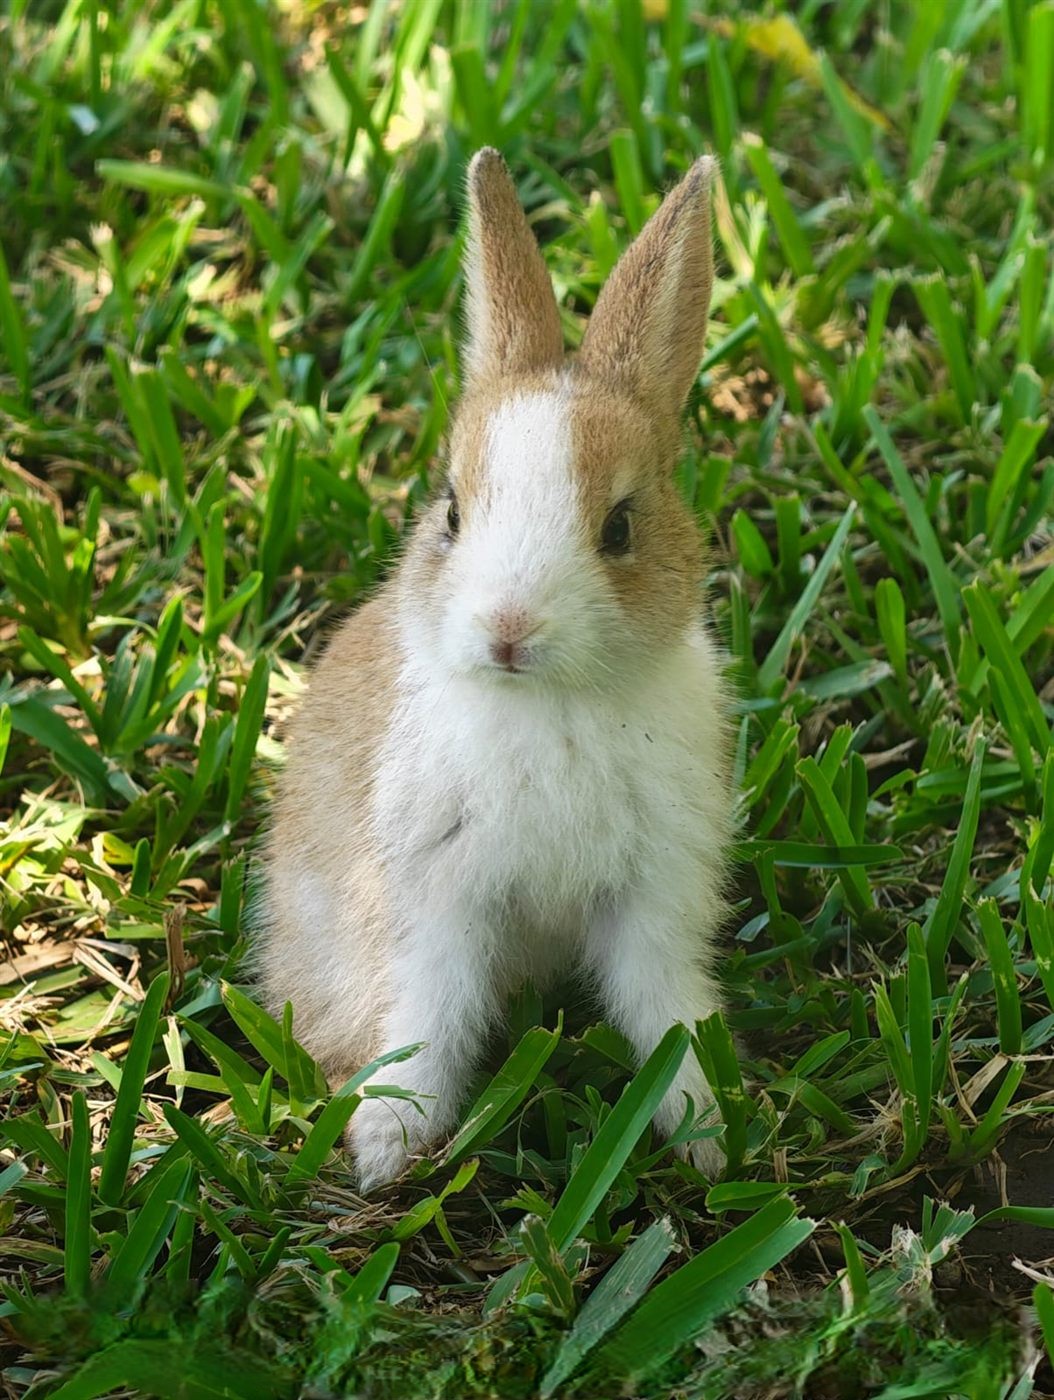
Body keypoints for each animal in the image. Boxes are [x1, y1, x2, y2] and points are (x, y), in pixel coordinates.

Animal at [258, 148, 734, 1190]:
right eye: (450, 510)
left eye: (620, 528)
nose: (509, 628)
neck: (546, 703)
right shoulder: (436, 900)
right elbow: (431, 1017)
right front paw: (388, 1147)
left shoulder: (655, 892)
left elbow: (665, 1007)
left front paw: (709, 1131)